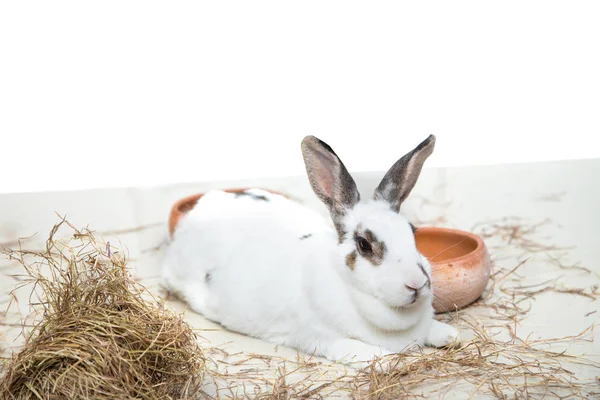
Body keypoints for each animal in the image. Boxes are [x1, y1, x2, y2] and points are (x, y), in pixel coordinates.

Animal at [162, 135, 462, 366]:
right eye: (364, 244)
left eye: (412, 232)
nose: (417, 284)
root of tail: (204, 204)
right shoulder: (326, 340)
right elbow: (367, 352)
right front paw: (390, 362)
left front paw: (453, 337)